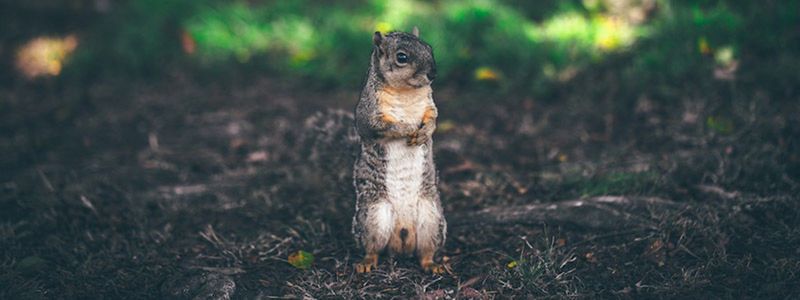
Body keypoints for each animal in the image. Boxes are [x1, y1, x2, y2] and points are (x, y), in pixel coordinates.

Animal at [352, 27, 446, 274]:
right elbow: (388, 126)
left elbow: (433, 118)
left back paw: (432, 264)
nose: (433, 74)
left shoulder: (429, 105)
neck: (406, 91)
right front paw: (408, 128)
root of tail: (402, 239)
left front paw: (425, 132)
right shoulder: (369, 114)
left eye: (429, 47)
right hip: (374, 217)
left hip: (431, 219)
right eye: (401, 57)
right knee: (373, 248)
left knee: (425, 251)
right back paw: (367, 262)